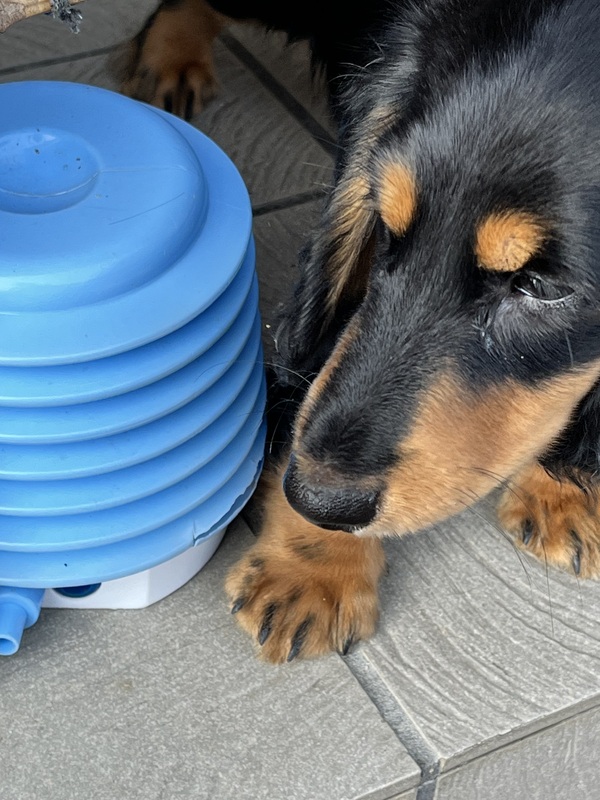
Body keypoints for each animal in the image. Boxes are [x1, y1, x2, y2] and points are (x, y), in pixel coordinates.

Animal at [121, 0, 600, 663]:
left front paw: (570, 487)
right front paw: (311, 568)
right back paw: (168, 57)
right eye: (385, 226)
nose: (314, 497)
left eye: (544, 287)